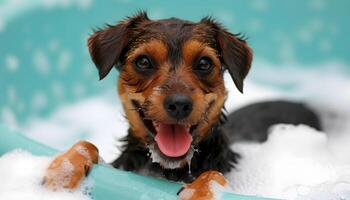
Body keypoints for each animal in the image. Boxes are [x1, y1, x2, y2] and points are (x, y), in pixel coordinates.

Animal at [42, 10, 322, 197]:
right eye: (143, 61)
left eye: (204, 63)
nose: (179, 104)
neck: (168, 170)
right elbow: (85, 143)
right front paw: (61, 173)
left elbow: (213, 175)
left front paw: (198, 191)